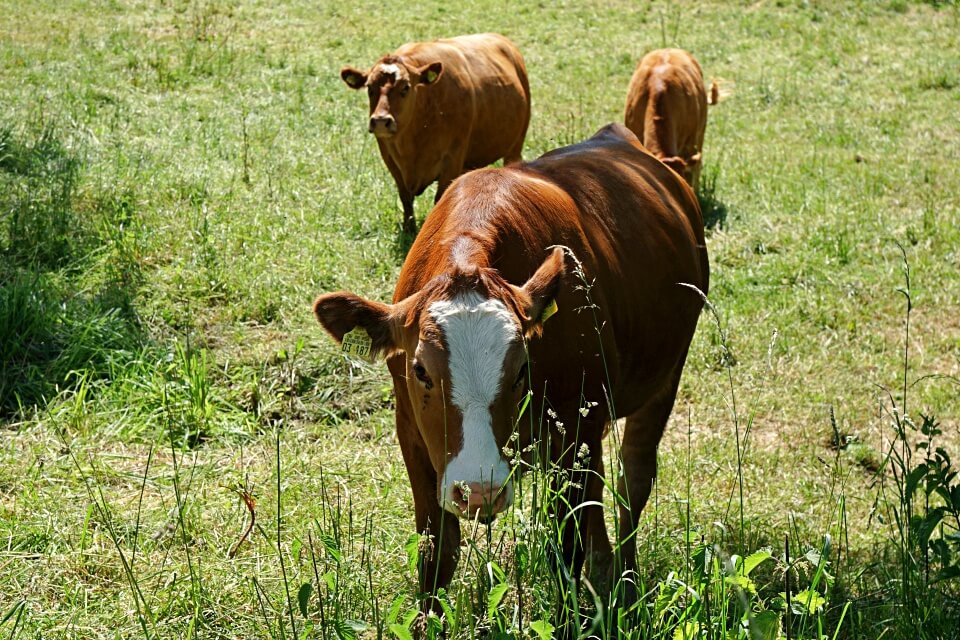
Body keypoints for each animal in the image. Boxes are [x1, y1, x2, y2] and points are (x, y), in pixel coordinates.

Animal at [340, 32, 532, 232]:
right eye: (369, 88)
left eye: (406, 87)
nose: (380, 121)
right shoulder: (389, 157)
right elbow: (405, 197)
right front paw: (409, 228)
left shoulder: (452, 158)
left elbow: (440, 198)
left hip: (516, 145)